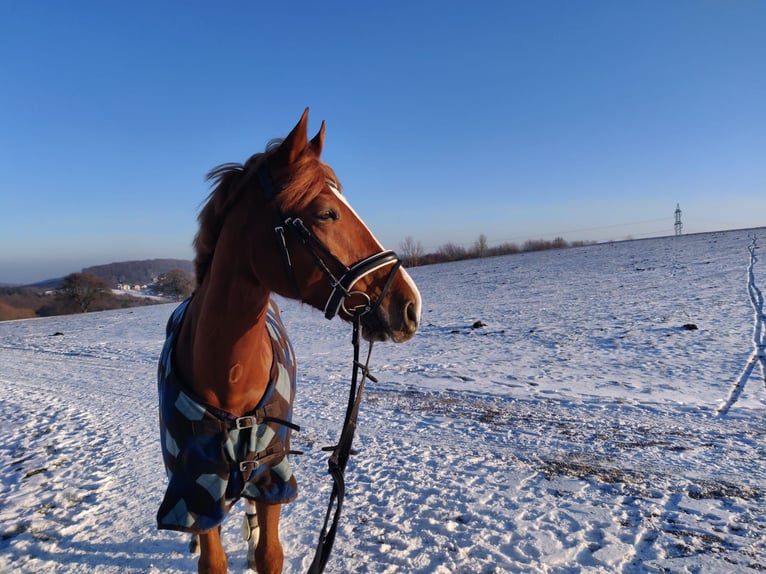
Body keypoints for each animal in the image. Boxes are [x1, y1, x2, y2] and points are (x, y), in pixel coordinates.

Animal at [154, 109, 420, 574]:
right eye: (326, 213)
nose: (410, 305)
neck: (230, 374)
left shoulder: (271, 477)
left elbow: (269, 554)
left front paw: (256, 542)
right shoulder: (195, 492)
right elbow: (212, 557)